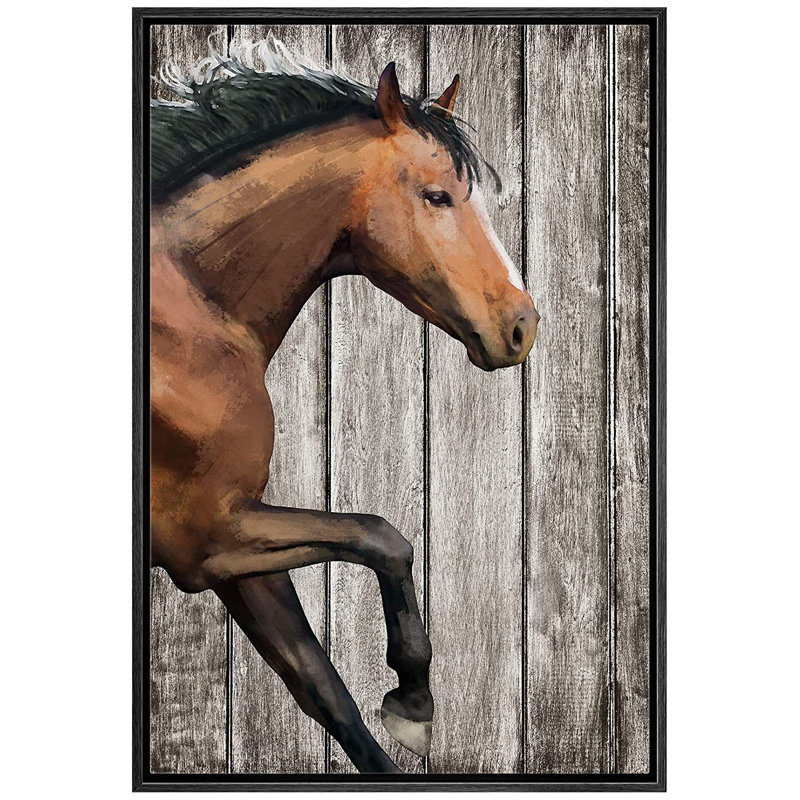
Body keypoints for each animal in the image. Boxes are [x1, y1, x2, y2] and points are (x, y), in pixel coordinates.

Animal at [149, 41, 539, 774]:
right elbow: (383, 536)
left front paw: (405, 712)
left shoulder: (232, 543)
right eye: (436, 194)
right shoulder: (203, 537)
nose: (522, 327)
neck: (189, 317)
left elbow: (325, 690)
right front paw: (413, 703)